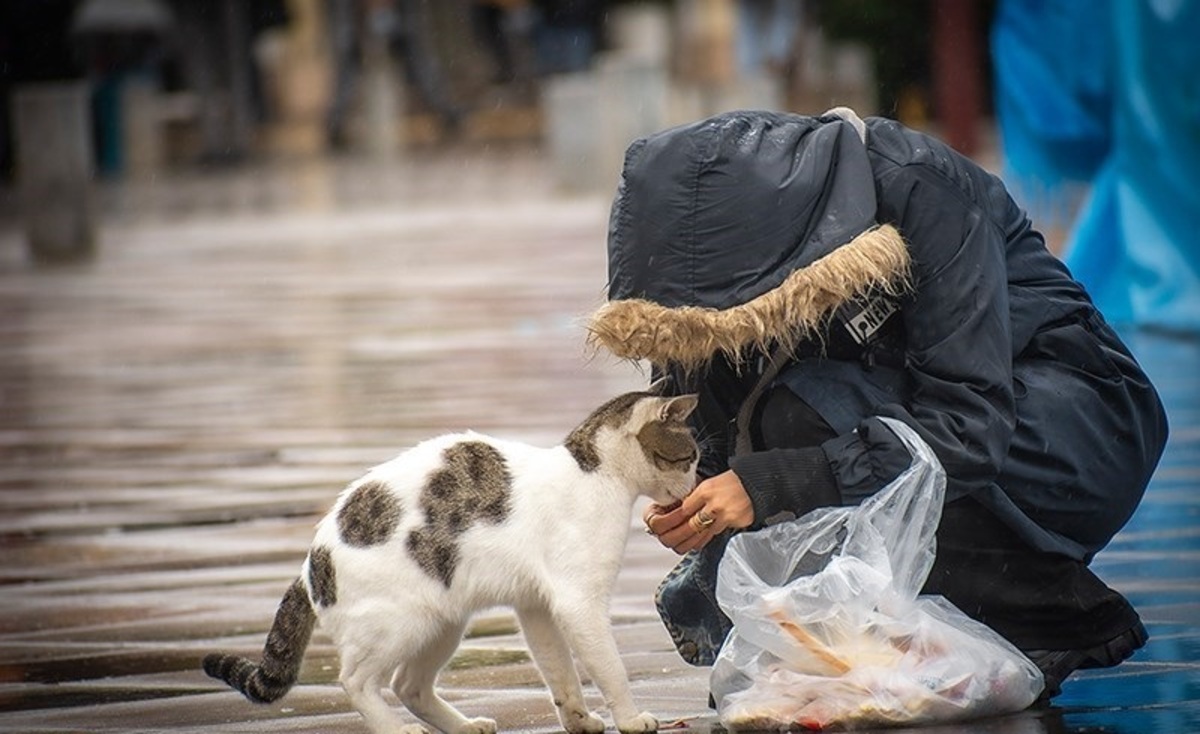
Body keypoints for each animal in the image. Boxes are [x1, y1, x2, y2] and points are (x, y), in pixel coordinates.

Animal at [201, 390, 700, 734]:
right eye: (690, 456)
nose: (697, 484)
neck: (593, 471)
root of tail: (311, 564)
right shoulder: (579, 603)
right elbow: (610, 668)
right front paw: (631, 719)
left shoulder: (536, 607)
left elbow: (560, 674)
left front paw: (579, 720)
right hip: (401, 626)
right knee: (356, 680)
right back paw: (397, 730)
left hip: (442, 623)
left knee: (409, 685)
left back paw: (464, 726)